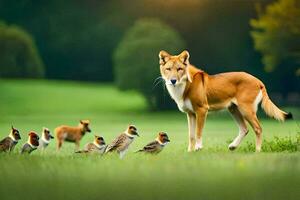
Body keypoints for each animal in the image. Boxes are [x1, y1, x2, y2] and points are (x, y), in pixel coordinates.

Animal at [159, 49, 292, 152]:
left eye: (179, 69)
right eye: (168, 69)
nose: (173, 80)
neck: (185, 85)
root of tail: (258, 80)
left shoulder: (202, 110)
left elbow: (198, 132)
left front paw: (198, 148)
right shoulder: (190, 114)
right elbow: (191, 135)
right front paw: (189, 152)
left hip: (246, 110)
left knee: (258, 128)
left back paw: (257, 151)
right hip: (234, 109)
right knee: (244, 129)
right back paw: (233, 146)